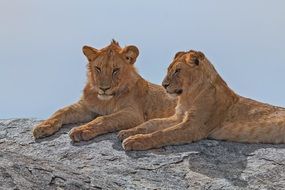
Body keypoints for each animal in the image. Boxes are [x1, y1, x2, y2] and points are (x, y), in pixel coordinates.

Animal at [32, 40, 176, 141]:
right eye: (98, 68)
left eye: (115, 70)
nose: (104, 88)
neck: (105, 101)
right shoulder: (86, 107)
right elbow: (62, 110)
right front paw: (42, 126)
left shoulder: (134, 113)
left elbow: (103, 119)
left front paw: (81, 130)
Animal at [119, 49, 284, 151]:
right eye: (168, 70)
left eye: (178, 71)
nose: (164, 85)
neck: (188, 96)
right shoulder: (178, 117)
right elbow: (151, 123)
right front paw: (127, 132)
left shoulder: (194, 126)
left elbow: (162, 133)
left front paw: (135, 141)